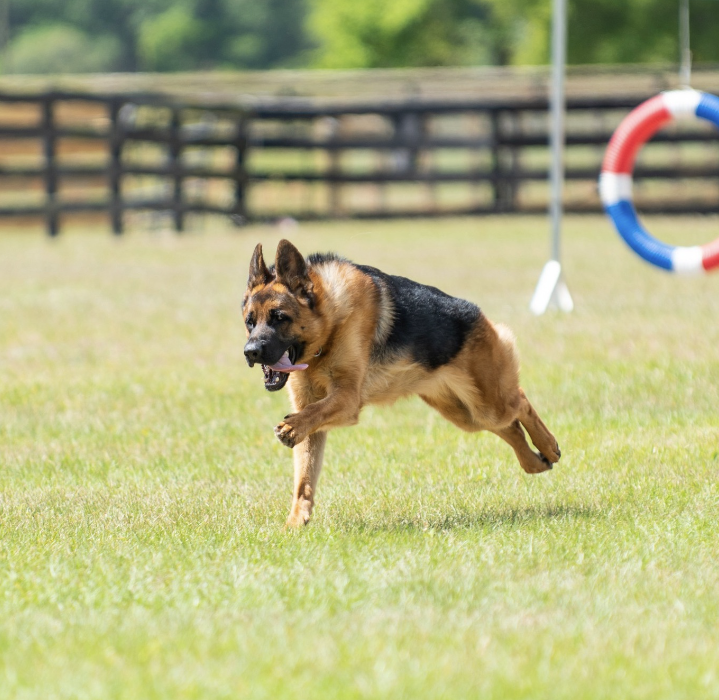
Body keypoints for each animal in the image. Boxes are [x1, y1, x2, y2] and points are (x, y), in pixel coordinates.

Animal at [243, 239, 561, 527]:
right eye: (250, 321)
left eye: (280, 318)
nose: (250, 352)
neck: (330, 320)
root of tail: (480, 316)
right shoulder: (312, 418)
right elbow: (304, 477)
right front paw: (295, 523)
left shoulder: (346, 399)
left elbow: (311, 415)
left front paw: (290, 428)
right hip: (466, 414)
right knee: (512, 429)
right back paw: (535, 462)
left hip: (488, 404)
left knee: (521, 402)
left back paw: (548, 445)